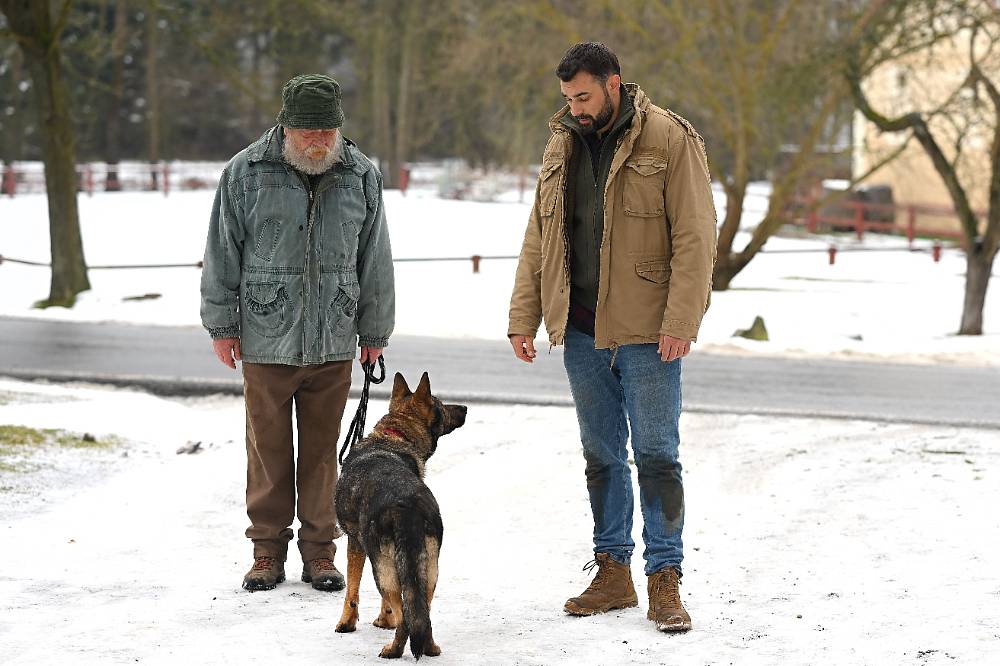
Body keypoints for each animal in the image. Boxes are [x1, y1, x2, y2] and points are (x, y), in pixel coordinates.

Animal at [332, 370, 464, 656]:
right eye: (441, 405)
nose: (465, 408)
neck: (393, 437)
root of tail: (407, 505)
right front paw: (384, 620)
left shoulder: (356, 543)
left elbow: (352, 591)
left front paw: (348, 624)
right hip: (428, 568)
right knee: (421, 612)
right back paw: (430, 647)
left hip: (383, 568)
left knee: (405, 614)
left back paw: (393, 650)